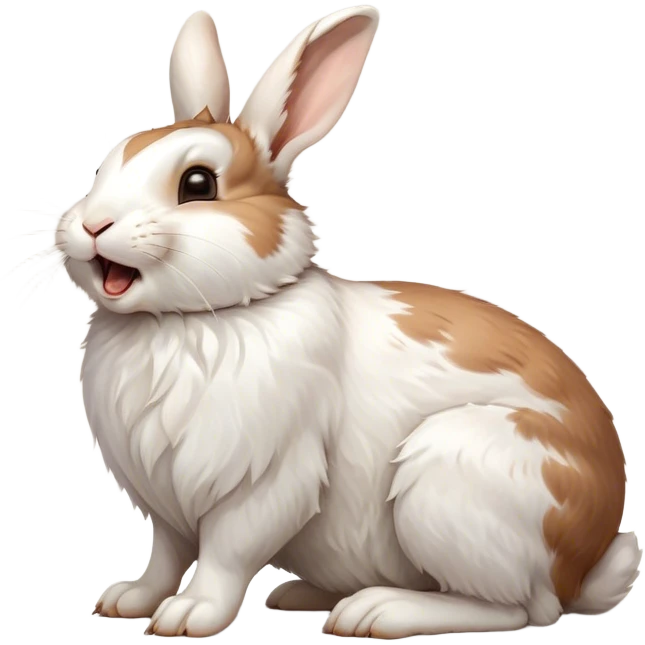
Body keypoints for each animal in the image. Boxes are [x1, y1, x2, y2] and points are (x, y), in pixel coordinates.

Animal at [55, 6, 640, 639]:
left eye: (198, 184)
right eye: (110, 160)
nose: (90, 225)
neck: (193, 319)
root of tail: (580, 564)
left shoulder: (266, 481)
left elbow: (226, 553)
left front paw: (190, 616)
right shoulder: (162, 502)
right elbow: (165, 556)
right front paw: (128, 602)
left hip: (450, 475)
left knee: (514, 608)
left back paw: (376, 611)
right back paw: (302, 594)